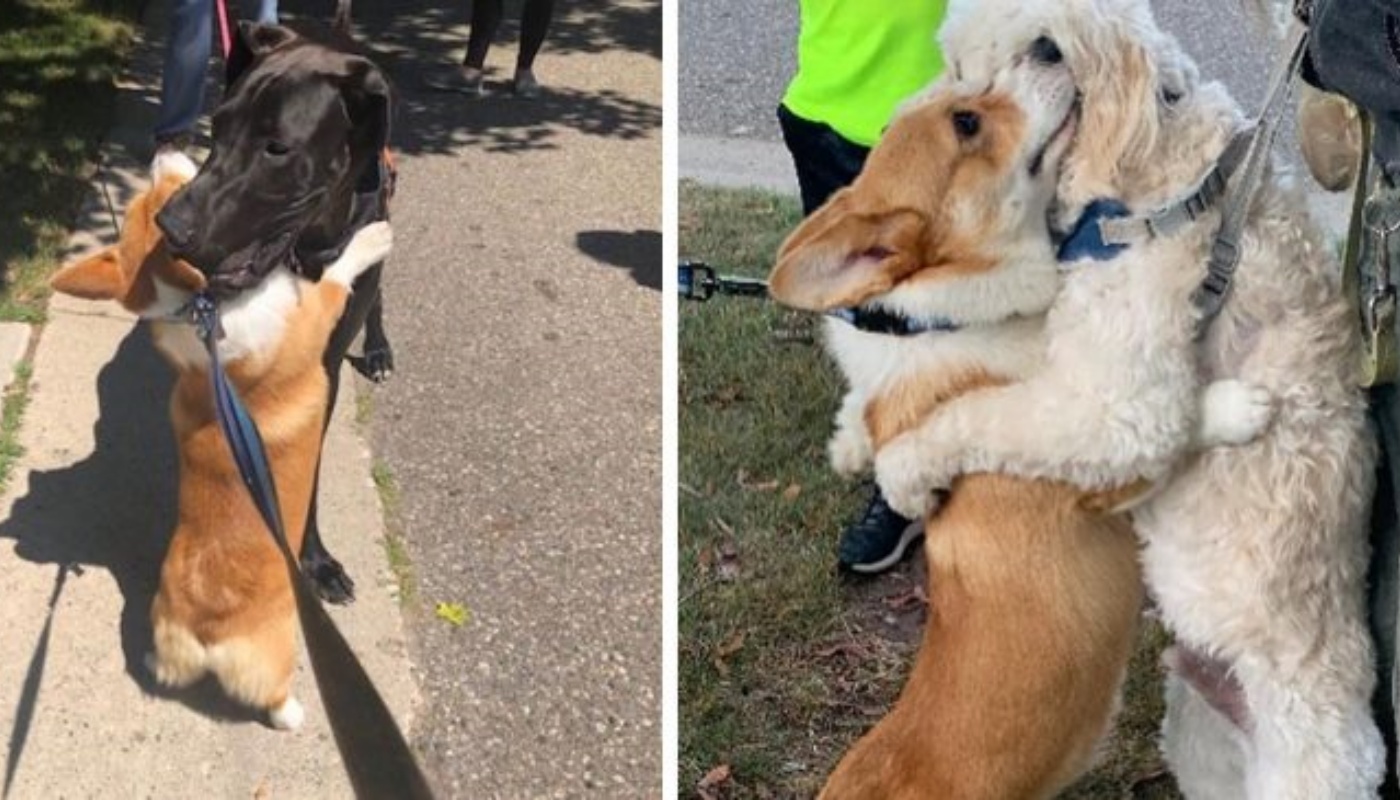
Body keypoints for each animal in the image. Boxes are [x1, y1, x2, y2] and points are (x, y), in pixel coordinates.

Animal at [155, 12, 392, 605]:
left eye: (277, 148)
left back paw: (379, 349)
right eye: (218, 127)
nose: (170, 227)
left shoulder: (322, 370)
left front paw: (314, 559)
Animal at [879, 3, 1383, 795]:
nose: (1047, 54)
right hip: (1202, 738)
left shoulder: (1115, 406)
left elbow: (976, 413)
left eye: (1044, 44)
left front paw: (901, 469)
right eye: (967, 64)